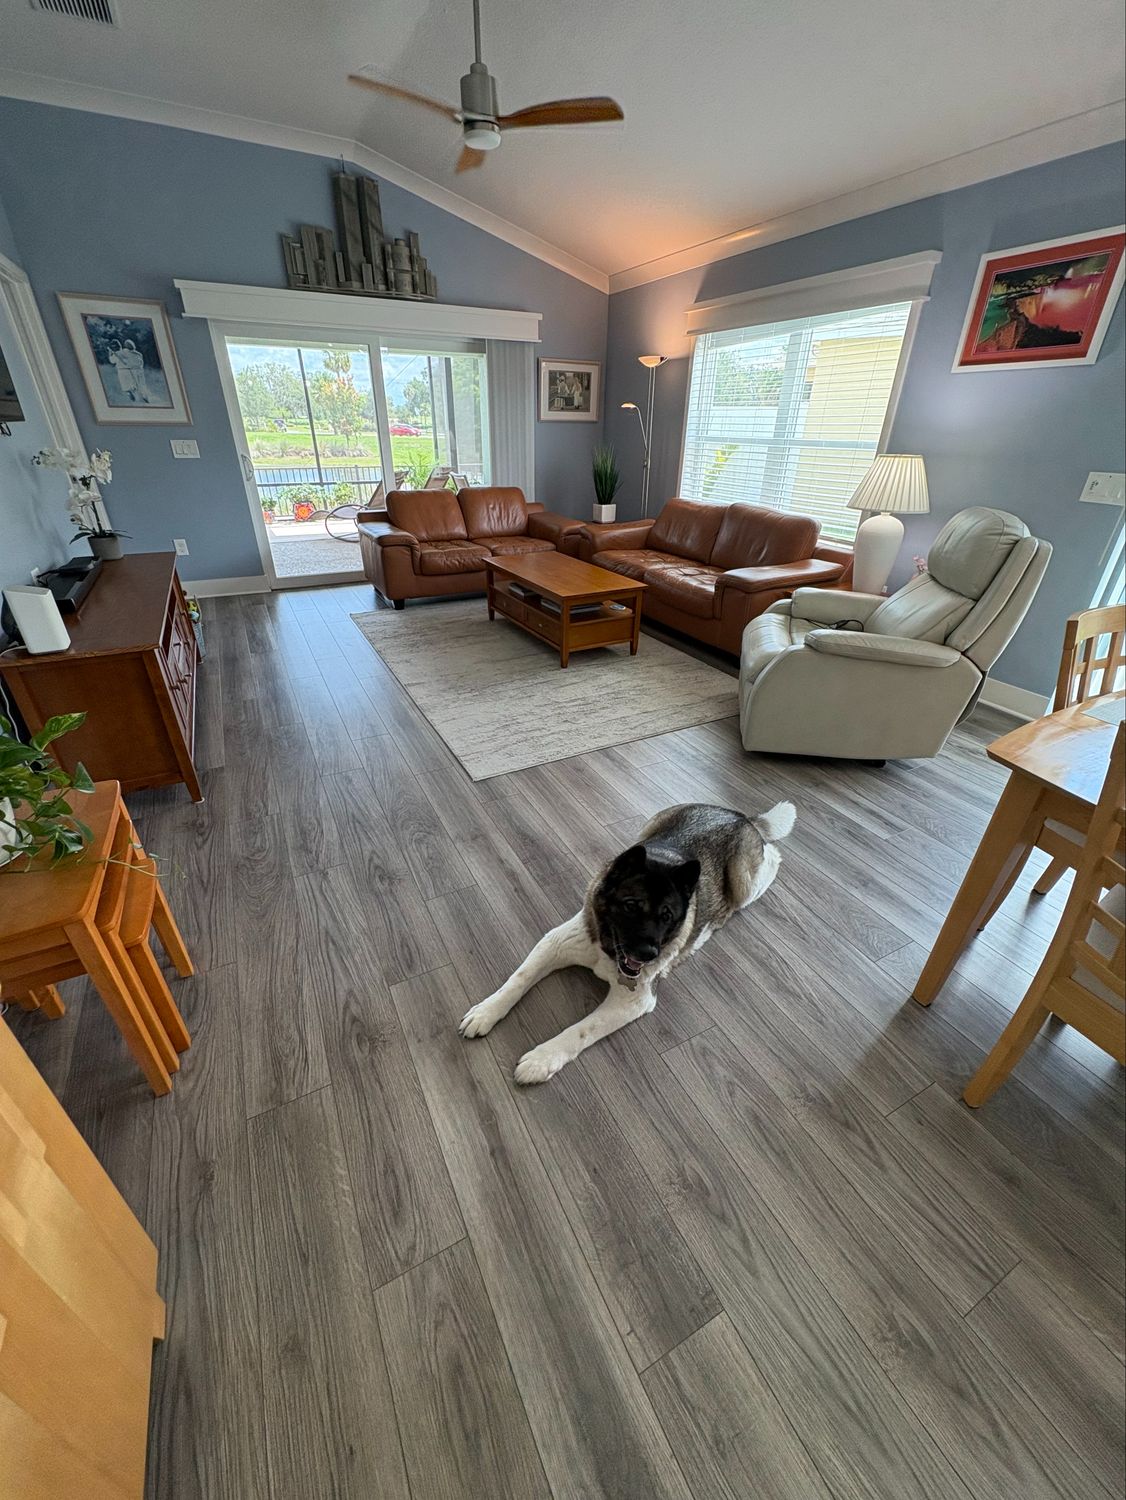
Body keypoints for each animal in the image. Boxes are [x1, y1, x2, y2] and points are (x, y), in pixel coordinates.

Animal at [459, 800, 796, 1084]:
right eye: (631, 905)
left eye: (667, 915)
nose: (649, 954)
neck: (608, 950)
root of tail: (740, 817)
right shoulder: (554, 944)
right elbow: (518, 979)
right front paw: (486, 1012)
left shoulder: (632, 1000)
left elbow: (582, 1029)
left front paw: (542, 1058)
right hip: (650, 827)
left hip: (746, 884)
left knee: (771, 861)